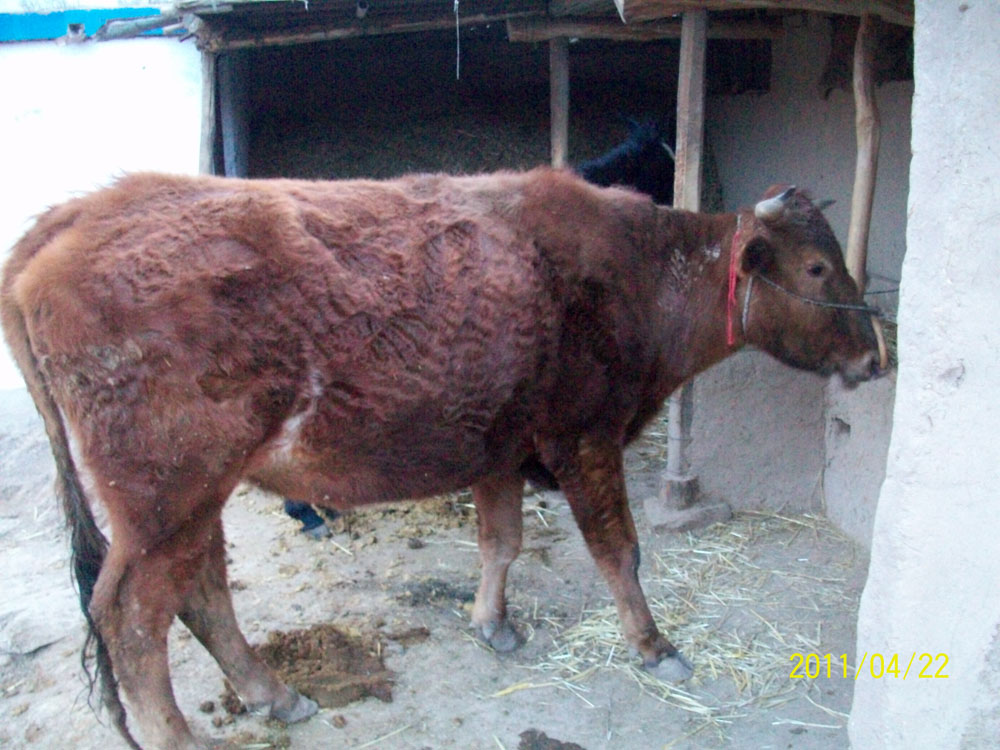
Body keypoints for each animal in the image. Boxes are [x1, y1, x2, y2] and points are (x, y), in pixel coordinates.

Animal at [0, 167, 885, 750]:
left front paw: (493, 624)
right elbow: (619, 552)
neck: (638, 272)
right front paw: (655, 646)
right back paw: (183, 735)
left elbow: (501, 542)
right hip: (163, 501)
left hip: (193, 499)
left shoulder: (500, 447)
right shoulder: (585, 437)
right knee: (131, 620)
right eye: (816, 267)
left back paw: (273, 694)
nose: (878, 354)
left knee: (203, 592)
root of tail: (78, 212)